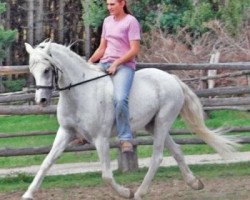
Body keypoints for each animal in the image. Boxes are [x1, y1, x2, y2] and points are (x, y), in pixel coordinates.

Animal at [23, 41, 238, 200]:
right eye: (32, 70)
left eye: (47, 70)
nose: (41, 100)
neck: (80, 93)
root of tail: (172, 78)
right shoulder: (65, 132)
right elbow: (46, 163)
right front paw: (28, 194)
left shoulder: (100, 139)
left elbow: (106, 176)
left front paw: (126, 192)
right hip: (152, 125)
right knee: (177, 150)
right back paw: (194, 183)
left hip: (163, 122)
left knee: (157, 157)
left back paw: (140, 192)